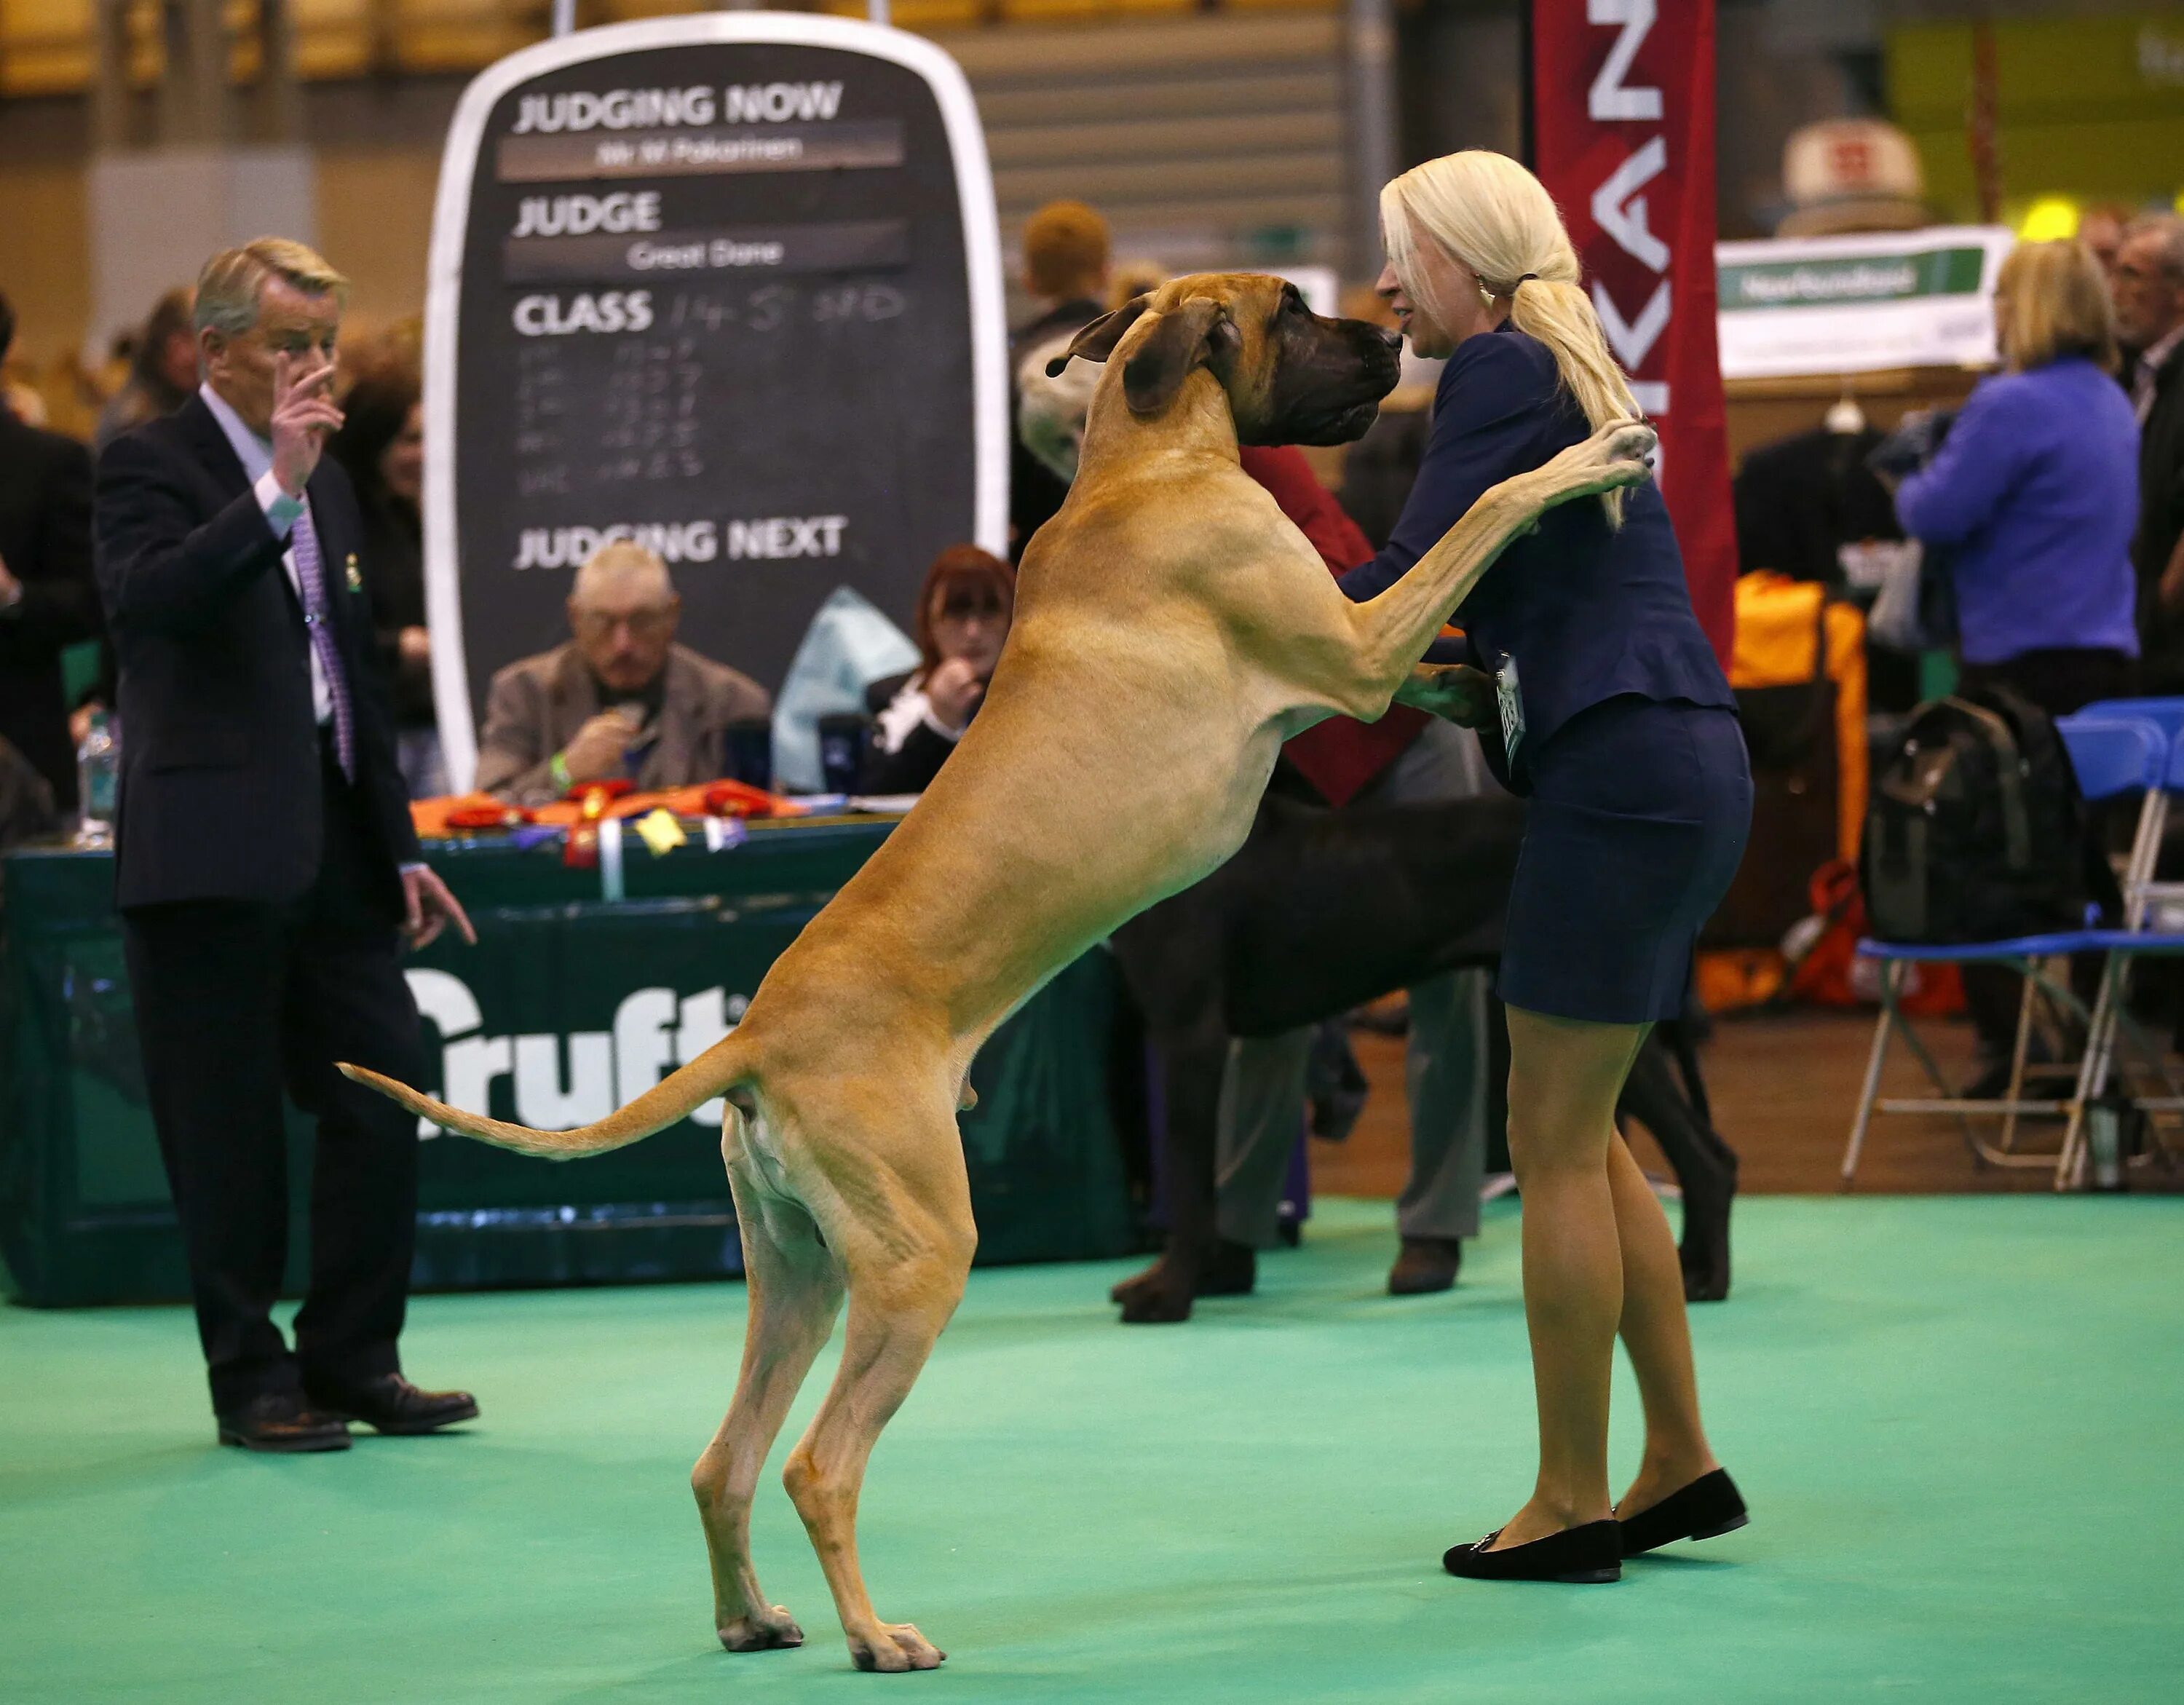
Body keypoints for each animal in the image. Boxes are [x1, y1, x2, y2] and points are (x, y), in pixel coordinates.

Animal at [336, 272, 1651, 1668]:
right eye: (1294, 311)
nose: (1395, 335)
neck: (1143, 462)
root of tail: (752, 1038)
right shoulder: (1346, 644)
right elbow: (1480, 516)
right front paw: (1590, 456)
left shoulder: (1347, 653)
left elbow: (1436, 641)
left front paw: (1479, 683)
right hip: (916, 1258)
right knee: (819, 1464)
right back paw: (879, 1634)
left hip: (799, 1273)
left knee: (723, 1458)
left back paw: (754, 1618)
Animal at [1109, 777, 1738, 1327]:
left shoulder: (1190, 1033)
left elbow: (1187, 1176)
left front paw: (1168, 1294)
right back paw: (1689, 1269)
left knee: (1706, 1157)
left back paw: (1706, 1279)